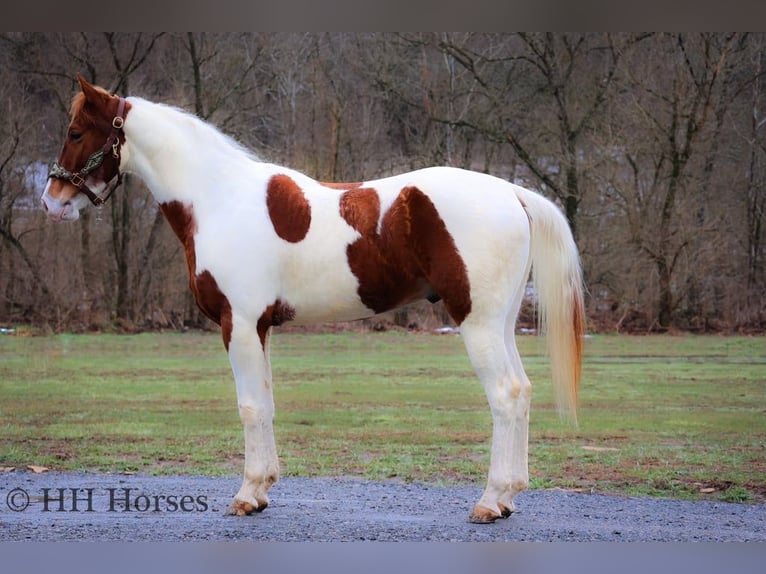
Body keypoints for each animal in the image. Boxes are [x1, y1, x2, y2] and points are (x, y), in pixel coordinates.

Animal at [41, 74, 584, 524]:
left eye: (76, 132)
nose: (51, 201)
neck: (218, 199)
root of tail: (512, 193)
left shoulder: (238, 323)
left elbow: (250, 406)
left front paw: (245, 495)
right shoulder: (259, 327)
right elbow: (265, 403)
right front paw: (262, 490)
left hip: (478, 323)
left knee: (505, 395)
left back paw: (490, 501)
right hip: (500, 323)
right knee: (523, 391)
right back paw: (509, 497)